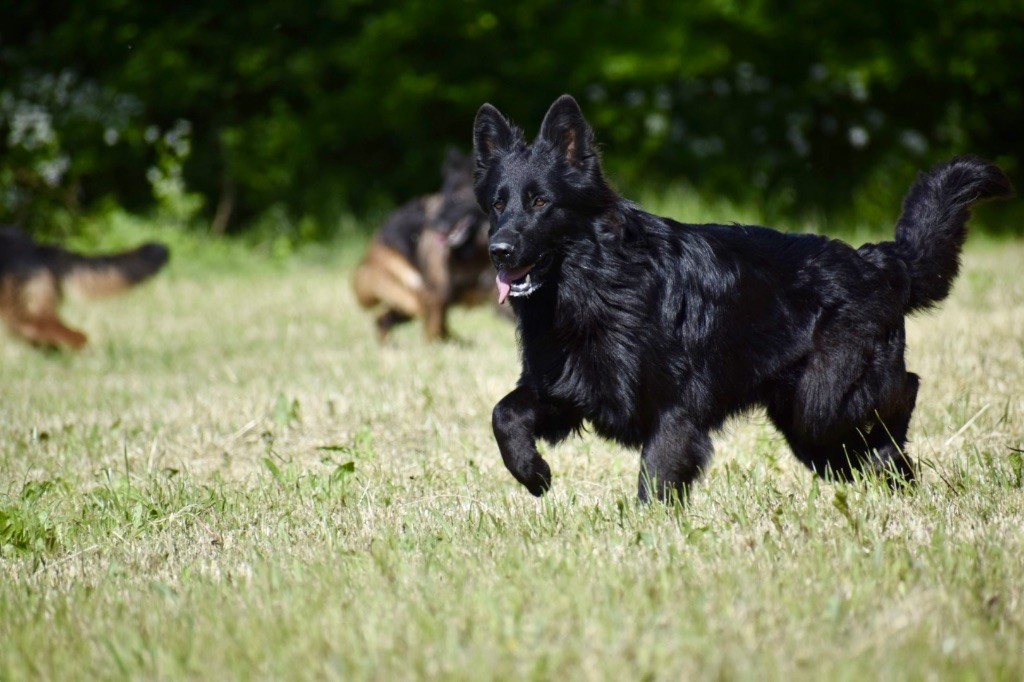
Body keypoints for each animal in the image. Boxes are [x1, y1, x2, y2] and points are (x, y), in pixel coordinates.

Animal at [473, 94, 1015, 499]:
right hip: (809, 428)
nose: (498, 251)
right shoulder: (567, 388)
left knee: (905, 392)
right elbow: (503, 415)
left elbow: (657, 475)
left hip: (822, 406)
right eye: (497, 204)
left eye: (541, 201)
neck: (595, 282)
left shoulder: (675, 410)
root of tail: (876, 261)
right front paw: (533, 473)